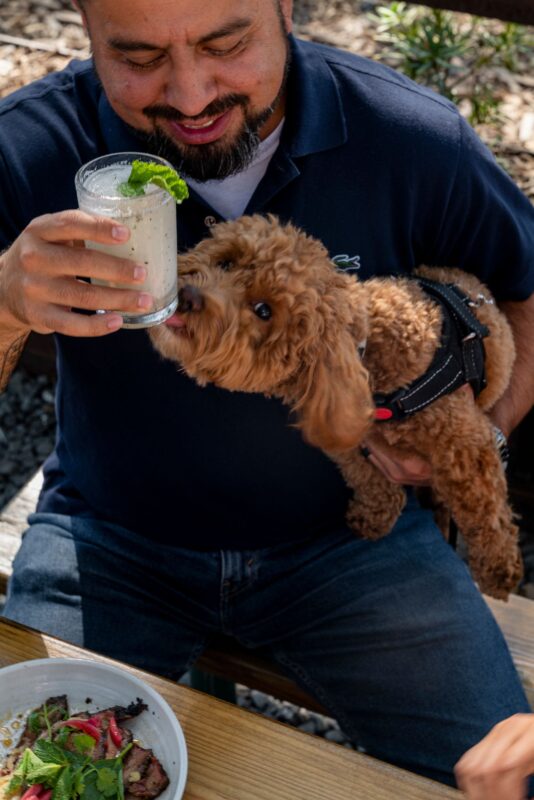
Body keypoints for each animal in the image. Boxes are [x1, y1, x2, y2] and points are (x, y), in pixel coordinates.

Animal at [150, 212, 524, 600]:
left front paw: (498, 569)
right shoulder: (348, 436)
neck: (368, 351)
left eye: (264, 310)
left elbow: (485, 509)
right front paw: (374, 516)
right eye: (225, 262)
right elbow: (367, 477)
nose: (188, 297)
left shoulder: (466, 445)